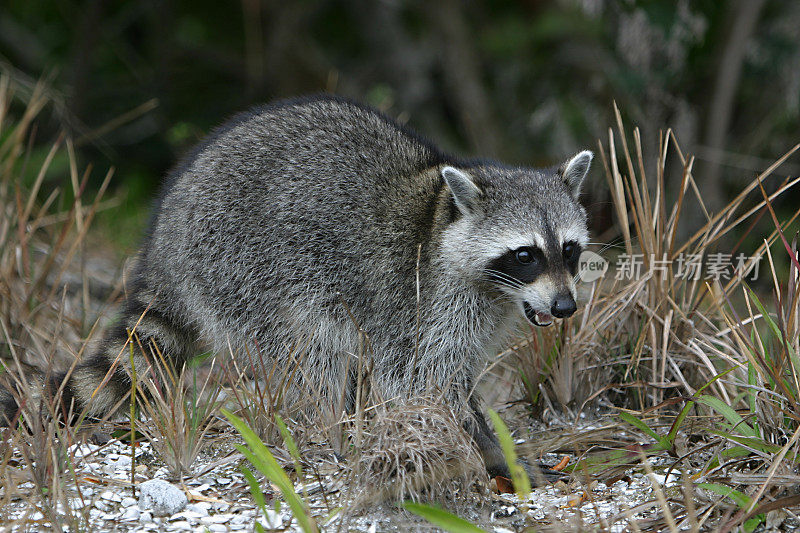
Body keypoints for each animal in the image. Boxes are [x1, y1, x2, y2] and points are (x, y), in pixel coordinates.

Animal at [1, 94, 592, 478]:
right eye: (525, 255)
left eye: (568, 251)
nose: (565, 307)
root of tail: (166, 241)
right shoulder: (418, 301)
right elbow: (423, 381)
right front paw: (490, 451)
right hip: (246, 268)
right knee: (315, 348)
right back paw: (336, 434)